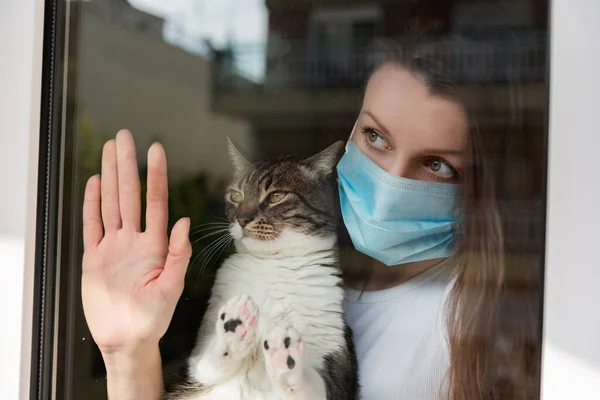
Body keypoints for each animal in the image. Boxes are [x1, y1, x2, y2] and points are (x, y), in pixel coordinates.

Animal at [166, 140, 358, 400]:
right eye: (236, 195)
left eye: (276, 195)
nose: (242, 219)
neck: (273, 265)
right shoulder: (195, 366)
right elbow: (208, 365)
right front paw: (233, 326)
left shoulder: (335, 365)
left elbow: (309, 386)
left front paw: (287, 358)